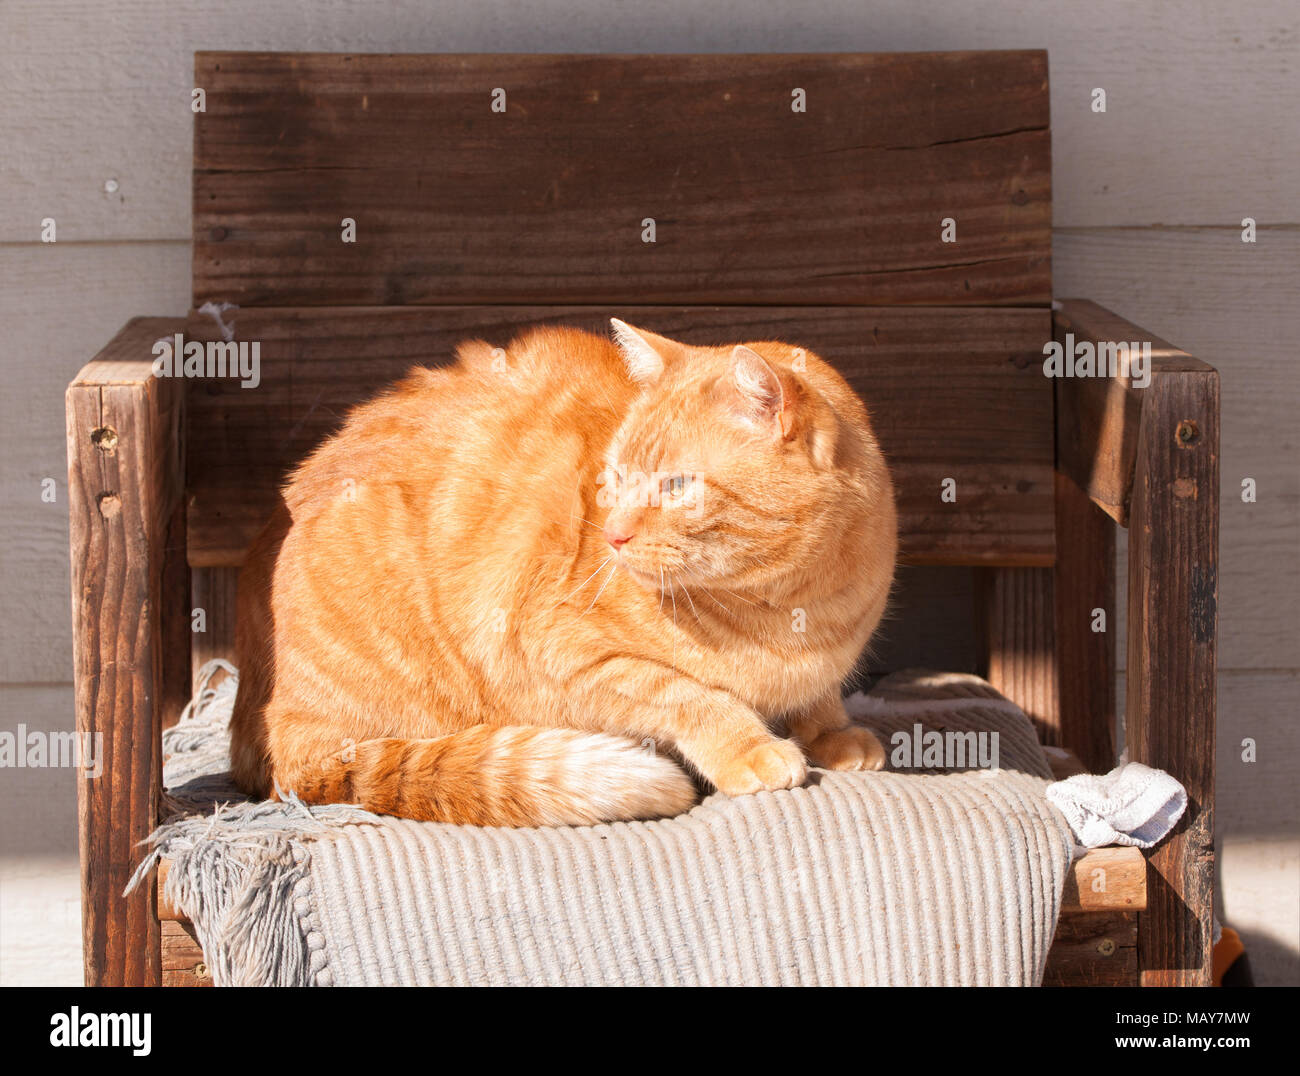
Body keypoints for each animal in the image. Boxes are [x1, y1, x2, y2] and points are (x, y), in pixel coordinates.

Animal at [228, 319, 894, 821]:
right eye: (614, 476)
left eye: (677, 486)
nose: (613, 534)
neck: (796, 610)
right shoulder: (553, 648)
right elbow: (688, 694)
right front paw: (752, 747)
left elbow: (819, 698)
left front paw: (832, 733)